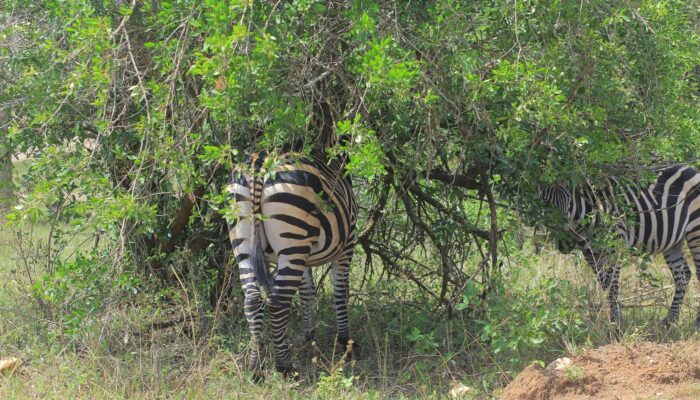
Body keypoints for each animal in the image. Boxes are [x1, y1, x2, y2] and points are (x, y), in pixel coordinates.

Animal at [228, 148, 358, 376]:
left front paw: (310, 336)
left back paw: (254, 367)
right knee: (278, 303)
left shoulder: (304, 257)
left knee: (252, 301)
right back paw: (285, 366)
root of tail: (260, 163)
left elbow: (307, 292)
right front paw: (344, 342)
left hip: (244, 240)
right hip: (293, 239)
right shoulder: (347, 245)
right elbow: (341, 292)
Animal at [540, 165, 700, 328]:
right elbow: (605, 284)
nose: (564, 242)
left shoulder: (615, 245)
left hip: (695, 230)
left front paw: (616, 324)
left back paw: (696, 323)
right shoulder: (590, 252)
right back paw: (669, 321)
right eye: (545, 204)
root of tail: (690, 168)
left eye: (568, 201)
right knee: (683, 276)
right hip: (673, 242)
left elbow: (613, 287)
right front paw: (615, 318)